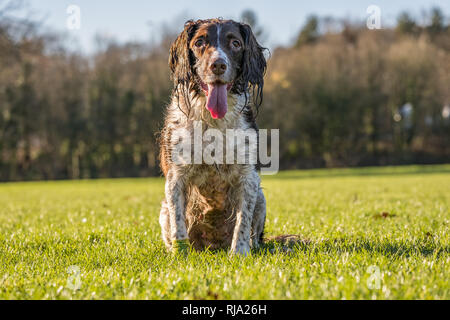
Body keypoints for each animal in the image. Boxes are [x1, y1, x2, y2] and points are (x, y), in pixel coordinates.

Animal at [158, 19, 268, 255]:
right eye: (199, 42)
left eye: (235, 43)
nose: (217, 65)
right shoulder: (175, 177)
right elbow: (179, 223)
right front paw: (180, 255)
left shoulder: (249, 177)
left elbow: (242, 222)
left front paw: (239, 254)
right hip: (163, 211)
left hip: (261, 198)